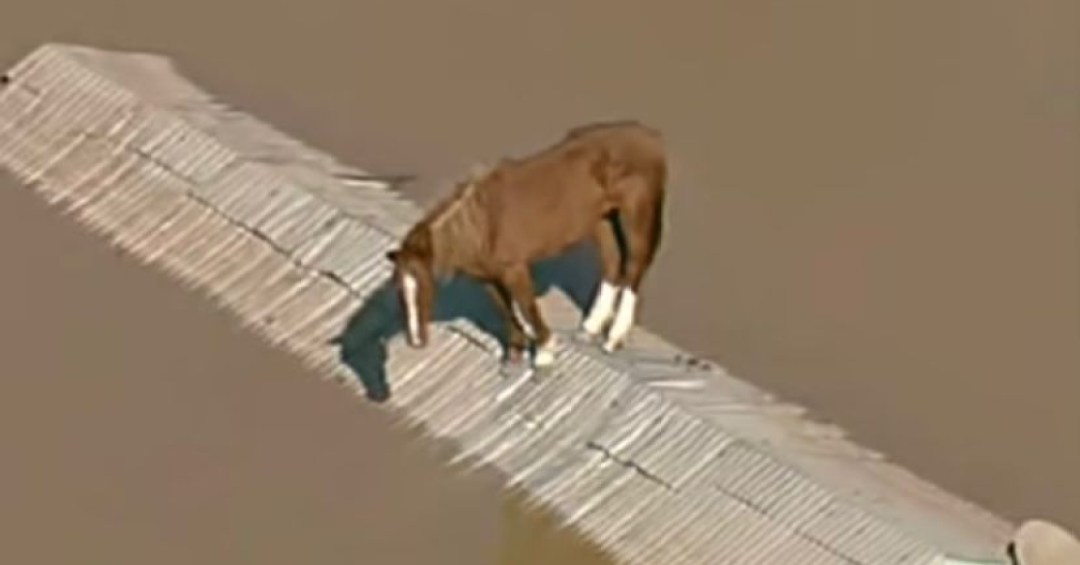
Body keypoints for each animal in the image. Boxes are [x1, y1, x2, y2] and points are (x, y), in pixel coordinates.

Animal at [384, 120, 667, 369]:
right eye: (399, 289)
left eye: (424, 286)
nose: (415, 341)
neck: (481, 225)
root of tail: (651, 136)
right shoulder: (488, 278)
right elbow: (506, 310)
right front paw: (515, 353)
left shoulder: (515, 269)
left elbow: (527, 306)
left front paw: (544, 352)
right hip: (601, 219)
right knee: (612, 262)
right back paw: (590, 328)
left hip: (638, 214)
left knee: (635, 266)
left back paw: (613, 338)